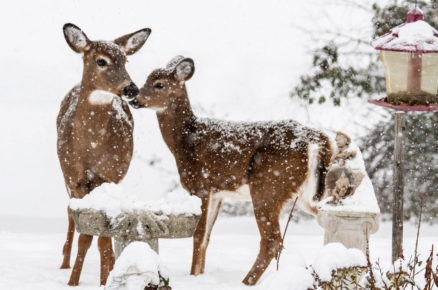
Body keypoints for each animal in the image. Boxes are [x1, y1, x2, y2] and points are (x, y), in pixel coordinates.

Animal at [56, 22, 151, 286]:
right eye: (101, 61)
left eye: (126, 60)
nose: (131, 88)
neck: (91, 147)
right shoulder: (76, 178)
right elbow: (86, 233)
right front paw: (72, 282)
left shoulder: (110, 177)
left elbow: (101, 236)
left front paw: (104, 279)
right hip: (66, 179)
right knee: (69, 214)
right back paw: (64, 262)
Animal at [128, 56, 334, 286]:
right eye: (146, 80)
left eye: (159, 84)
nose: (134, 99)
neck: (185, 141)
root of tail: (316, 139)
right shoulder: (218, 193)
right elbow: (207, 237)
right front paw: (199, 275)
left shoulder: (201, 185)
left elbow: (198, 235)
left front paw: (193, 276)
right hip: (307, 193)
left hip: (268, 185)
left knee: (272, 239)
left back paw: (246, 282)